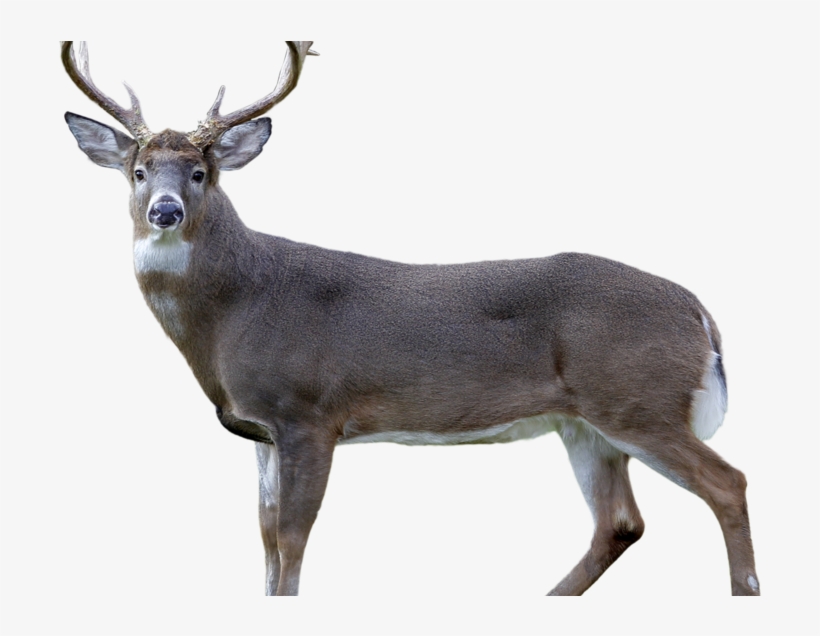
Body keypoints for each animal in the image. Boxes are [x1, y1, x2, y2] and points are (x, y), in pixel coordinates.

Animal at [61, 40, 760, 596]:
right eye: (138, 171)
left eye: (201, 172)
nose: (166, 211)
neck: (238, 310)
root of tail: (701, 315)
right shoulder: (260, 429)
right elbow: (262, 537)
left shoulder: (310, 411)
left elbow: (291, 538)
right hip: (586, 423)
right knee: (619, 523)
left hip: (637, 398)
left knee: (727, 483)